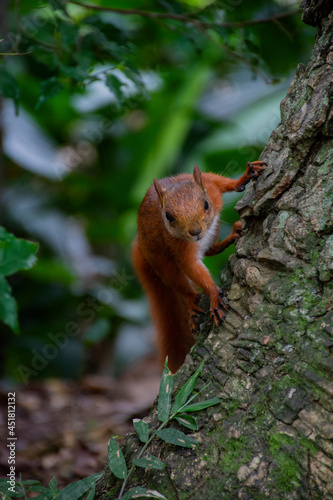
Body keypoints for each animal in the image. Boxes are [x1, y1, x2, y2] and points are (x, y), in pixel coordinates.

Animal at [132, 160, 264, 372]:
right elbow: (192, 267)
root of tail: (141, 248)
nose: (195, 231)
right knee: (181, 285)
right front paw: (213, 294)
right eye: (168, 216)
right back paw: (192, 302)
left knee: (211, 250)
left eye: (206, 204)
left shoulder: (210, 185)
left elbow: (220, 181)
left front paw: (244, 176)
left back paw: (233, 234)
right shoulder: (180, 248)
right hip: (163, 264)